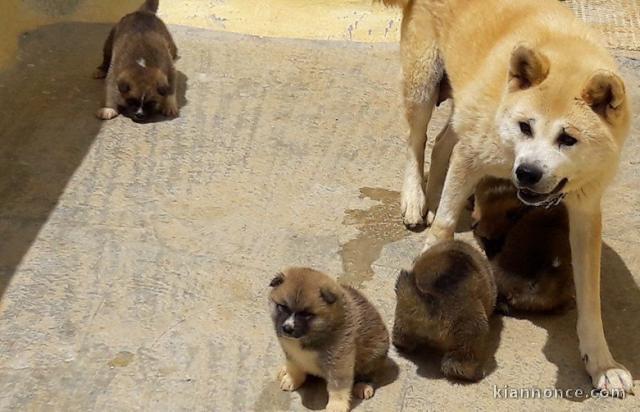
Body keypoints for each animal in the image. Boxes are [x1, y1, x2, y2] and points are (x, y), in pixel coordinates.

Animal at [268, 268, 388, 412]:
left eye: (307, 314)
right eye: (283, 307)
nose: (287, 328)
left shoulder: (339, 362)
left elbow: (338, 387)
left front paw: (337, 406)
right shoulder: (290, 352)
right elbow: (294, 367)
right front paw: (292, 379)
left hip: (374, 353)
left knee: (370, 373)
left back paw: (363, 386)